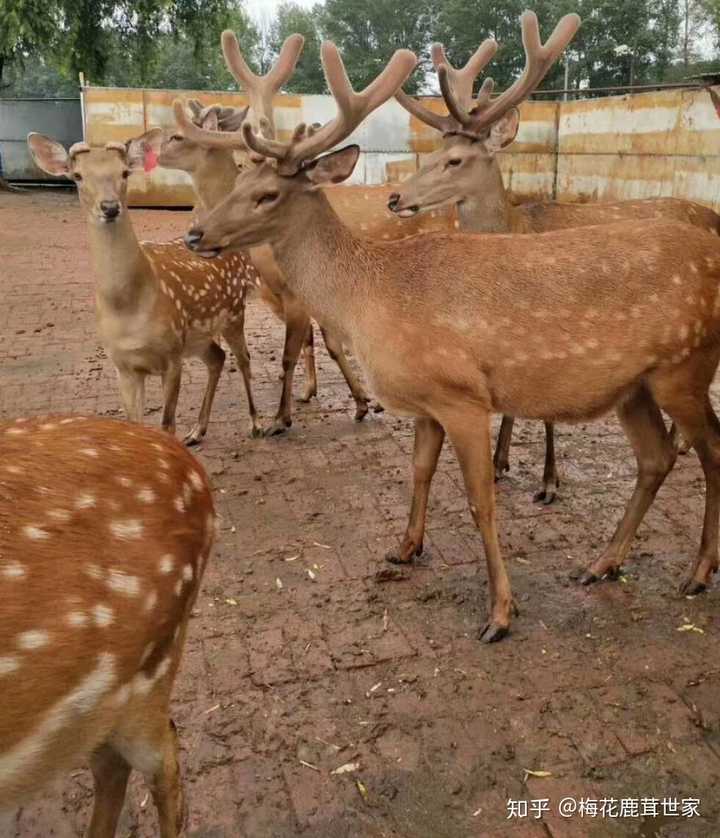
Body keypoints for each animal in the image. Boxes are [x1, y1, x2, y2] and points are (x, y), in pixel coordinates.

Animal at [27, 130, 264, 446]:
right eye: (77, 176)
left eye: (124, 172)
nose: (110, 207)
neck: (129, 307)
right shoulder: (124, 366)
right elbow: (135, 425)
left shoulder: (171, 355)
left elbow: (166, 425)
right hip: (198, 337)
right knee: (217, 357)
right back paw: (197, 430)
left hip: (233, 313)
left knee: (243, 358)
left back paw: (256, 423)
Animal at [390, 11, 720, 506]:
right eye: (432, 152)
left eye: (456, 160)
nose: (394, 198)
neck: (516, 227)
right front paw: (500, 462)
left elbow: (546, 413)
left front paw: (548, 479)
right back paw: (679, 442)